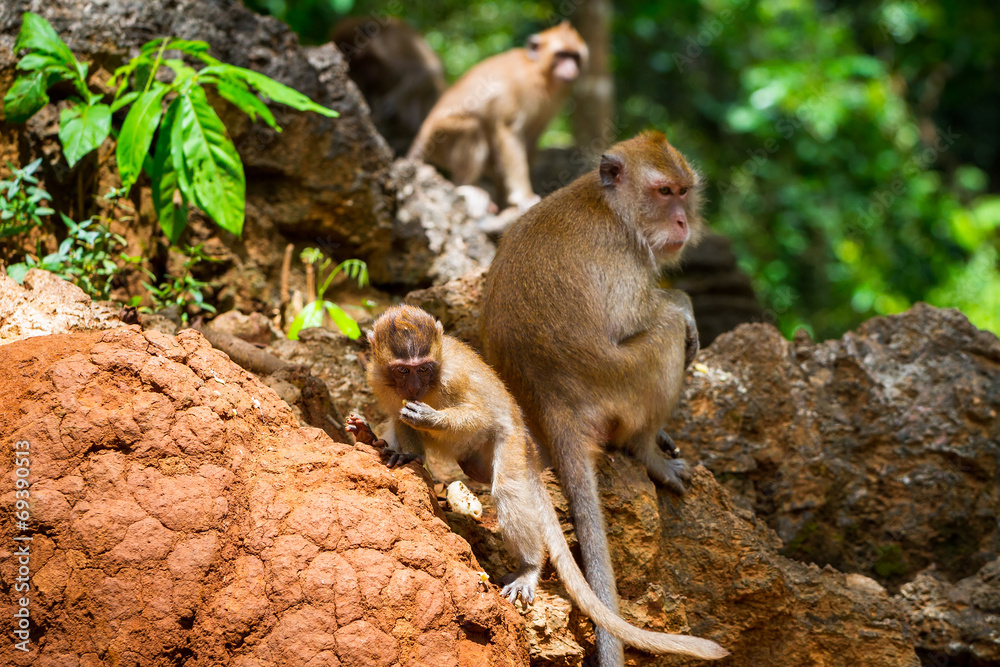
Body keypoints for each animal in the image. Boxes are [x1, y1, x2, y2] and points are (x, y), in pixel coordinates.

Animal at [410, 21, 588, 209]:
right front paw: (523, 196)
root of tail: (423, 132)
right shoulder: (522, 85)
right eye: (562, 55)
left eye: (574, 56)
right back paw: (467, 185)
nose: (571, 68)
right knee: (473, 128)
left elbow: (532, 138)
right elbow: (509, 131)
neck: (539, 71)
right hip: (439, 141)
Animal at [480, 130, 708, 667]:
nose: (683, 221)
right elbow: (639, 319)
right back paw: (647, 452)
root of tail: (553, 406)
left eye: (684, 192)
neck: (612, 206)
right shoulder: (624, 257)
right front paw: (685, 303)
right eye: (664, 193)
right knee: (665, 334)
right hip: (620, 387)